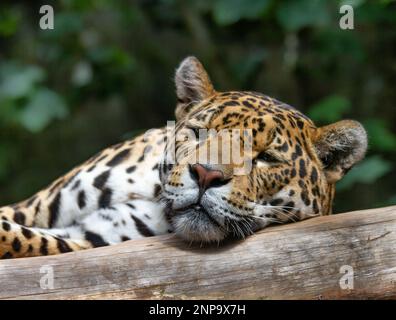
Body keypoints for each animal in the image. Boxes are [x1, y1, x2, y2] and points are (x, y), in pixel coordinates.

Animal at [0, 56, 368, 258]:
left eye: (266, 157)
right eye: (198, 132)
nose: (206, 175)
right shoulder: (33, 206)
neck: (151, 191)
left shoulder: (94, 239)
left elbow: (17, 238)